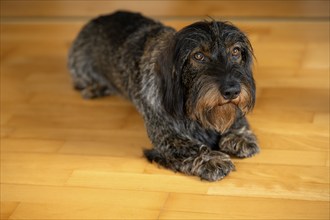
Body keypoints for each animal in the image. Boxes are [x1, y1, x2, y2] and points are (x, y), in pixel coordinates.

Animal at [68, 11, 260, 181]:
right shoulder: (167, 138)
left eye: (235, 51)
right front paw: (211, 159)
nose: (232, 91)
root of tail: (97, 20)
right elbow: (190, 148)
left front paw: (239, 135)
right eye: (198, 55)